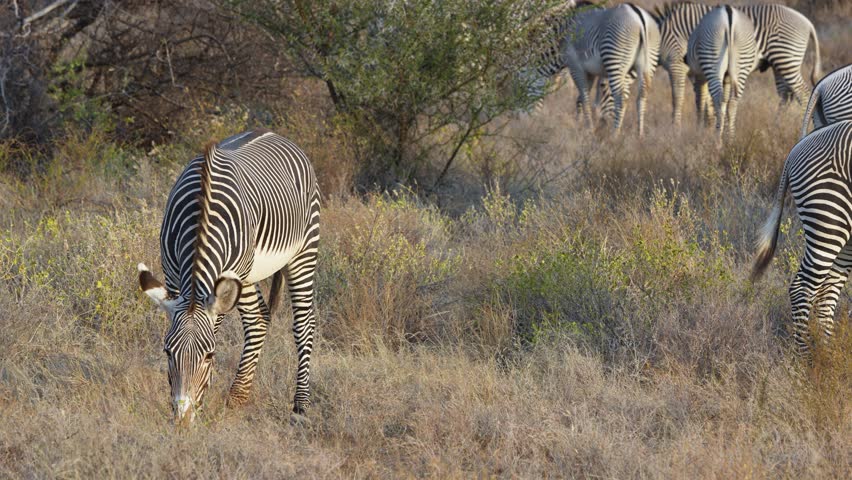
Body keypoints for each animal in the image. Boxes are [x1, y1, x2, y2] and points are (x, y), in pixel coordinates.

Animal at [137, 129, 320, 425]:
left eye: (210, 355)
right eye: (167, 351)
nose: (182, 422)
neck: (201, 214)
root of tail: (275, 134)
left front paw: (199, 406)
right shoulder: (173, 276)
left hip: (302, 252)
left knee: (303, 324)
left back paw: (300, 406)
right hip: (247, 275)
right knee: (259, 319)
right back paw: (238, 397)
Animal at [560, 3, 661, 136]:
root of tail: (638, 17)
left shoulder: (575, 66)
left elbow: (584, 98)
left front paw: (588, 129)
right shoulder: (589, 73)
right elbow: (581, 98)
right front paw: (581, 125)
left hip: (615, 59)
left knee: (621, 99)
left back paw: (614, 135)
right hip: (649, 60)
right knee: (642, 98)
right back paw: (640, 134)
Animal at [685, 5, 759, 143]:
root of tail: (728, 12)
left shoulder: (700, 77)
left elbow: (701, 101)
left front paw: (700, 130)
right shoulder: (727, 78)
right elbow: (724, 101)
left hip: (712, 59)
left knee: (718, 100)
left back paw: (718, 141)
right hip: (742, 62)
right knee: (732, 102)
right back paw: (730, 139)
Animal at [752, 120, 852, 358]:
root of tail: (797, 146)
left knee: (826, 294)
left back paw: (828, 356)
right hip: (829, 221)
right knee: (802, 289)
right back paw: (806, 357)